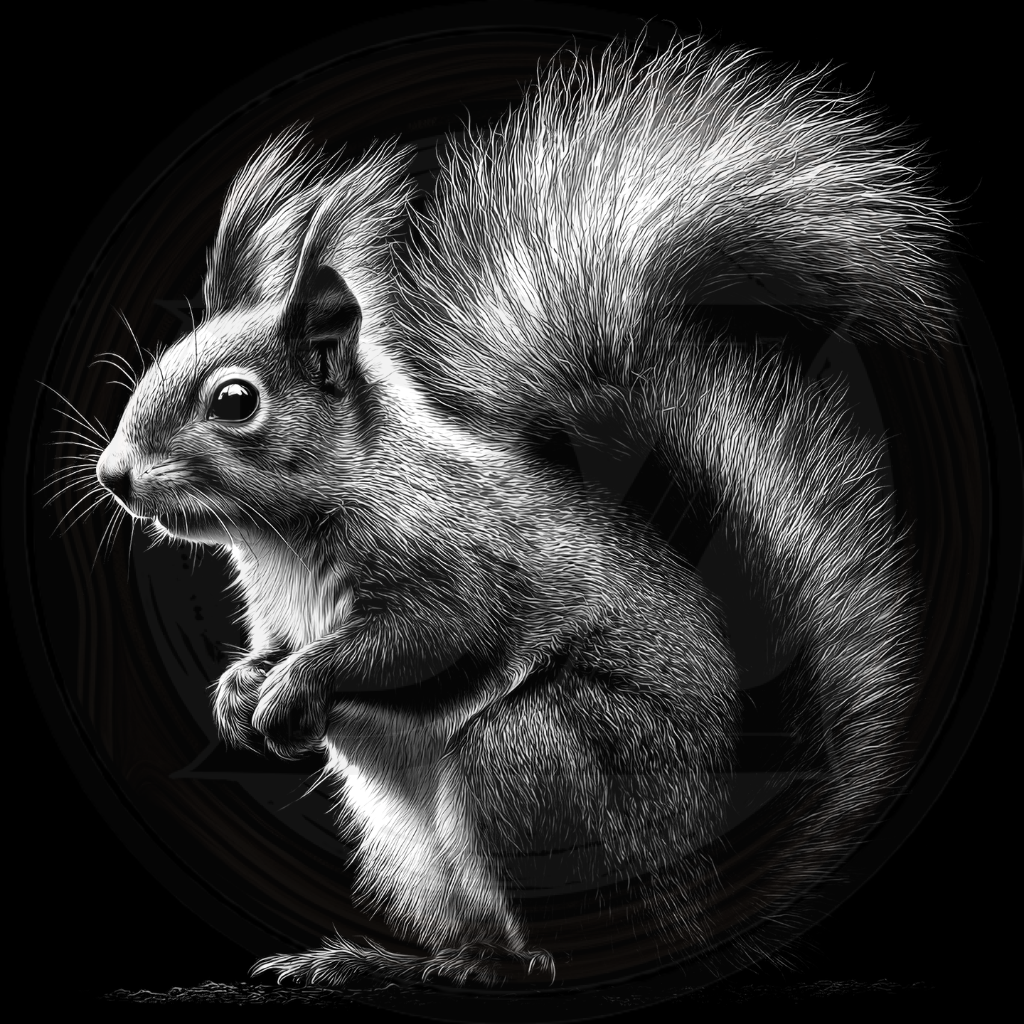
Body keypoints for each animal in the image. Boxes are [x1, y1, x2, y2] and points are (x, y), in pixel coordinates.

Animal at [91, 35, 953, 986]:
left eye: (235, 401)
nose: (113, 475)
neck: (287, 535)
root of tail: (711, 904)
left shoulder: (447, 558)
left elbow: (426, 637)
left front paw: (296, 685)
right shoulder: (280, 608)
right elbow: (276, 648)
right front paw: (241, 689)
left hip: (533, 759)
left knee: (568, 945)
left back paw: (500, 967)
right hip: (414, 848)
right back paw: (383, 963)